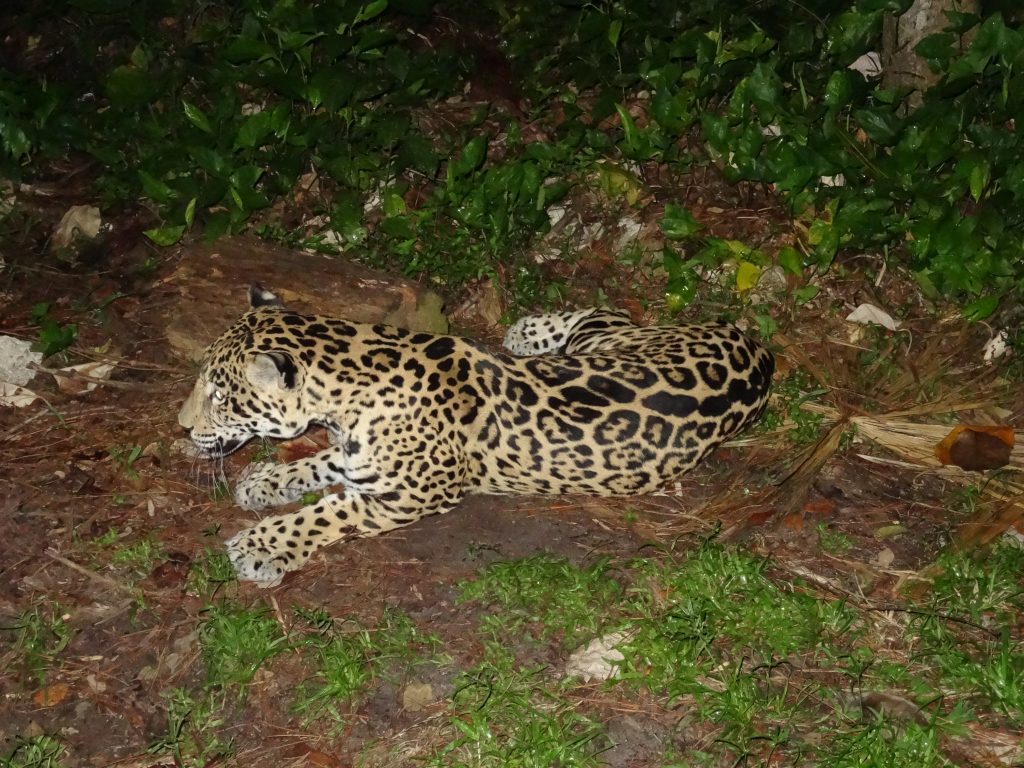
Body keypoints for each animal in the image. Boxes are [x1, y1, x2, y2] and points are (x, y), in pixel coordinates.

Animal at [178, 284, 775, 587]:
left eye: (220, 394)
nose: (182, 425)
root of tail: (757, 348)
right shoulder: (362, 460)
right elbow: (322, 464)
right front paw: (266, 482)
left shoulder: (408, 494)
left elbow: (323, 514)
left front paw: (261, 545)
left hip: (613, 339)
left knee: (604, 309)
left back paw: (528, 330)